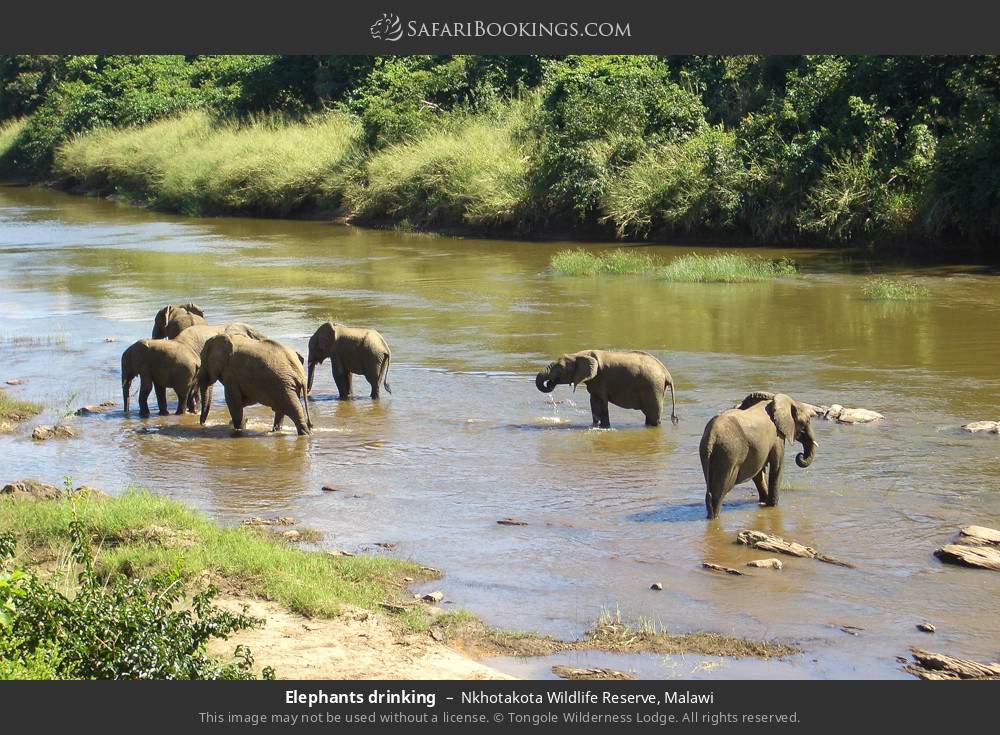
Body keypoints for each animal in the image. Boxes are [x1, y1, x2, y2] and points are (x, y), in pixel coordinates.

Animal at [535, 349, 677, 428]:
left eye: (559, 368)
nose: (550, 383)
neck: (580, 354)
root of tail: (667, 374)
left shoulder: (601, 379)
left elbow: (602, 403)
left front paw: (604, 427)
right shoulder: (595, 381)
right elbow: (594, 402)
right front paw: (595, 426)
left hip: (653, 387)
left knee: (653, 416)